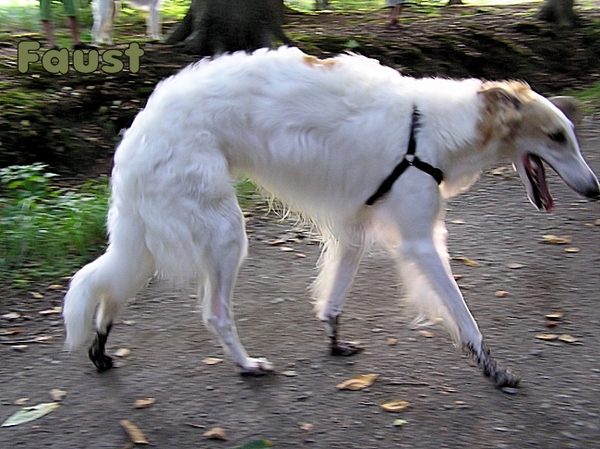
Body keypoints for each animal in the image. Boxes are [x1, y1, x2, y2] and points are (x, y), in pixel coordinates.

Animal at [62, 47, 600, 386]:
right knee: (214, 313)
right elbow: (465, 318)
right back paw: (247, 365)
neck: (433, 131)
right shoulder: (420, 241)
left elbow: (333, 302)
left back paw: (101, 349)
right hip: (223, 234)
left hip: (151, 235)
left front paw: (334, 341)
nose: (595, 190)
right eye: (556, 136)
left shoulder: (354, 227)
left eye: (570, 134)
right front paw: (493, 368)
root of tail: (139, 127)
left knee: (109, 288)